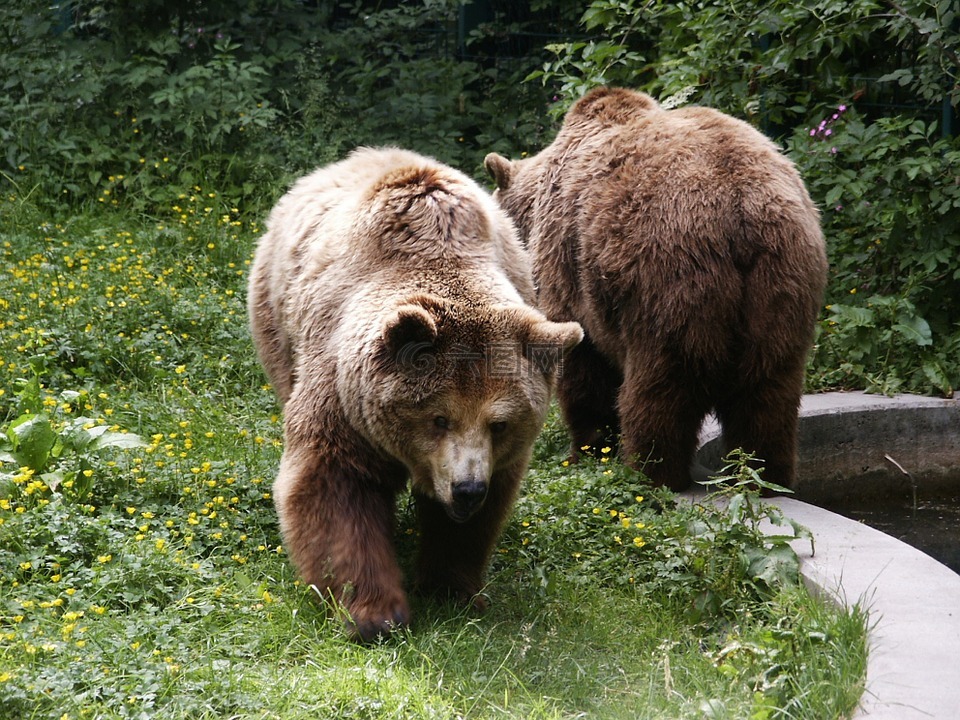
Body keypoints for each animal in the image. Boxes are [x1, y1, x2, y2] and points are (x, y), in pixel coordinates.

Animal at [244, 146, 580, 640]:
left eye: (499, 423)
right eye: (438, 417)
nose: (467, 489)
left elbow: (475, 518)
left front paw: (451, 586)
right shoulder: (342, 392)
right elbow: (334, 484)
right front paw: (375, 613)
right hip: (279, 325)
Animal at [484, 84, 828, 490]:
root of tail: (742, 205)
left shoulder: (568, 269)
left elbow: (583, 366)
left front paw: (587, 447)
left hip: (668, 275)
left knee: (661, 387)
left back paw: (650, 470)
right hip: (784, 282)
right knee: (769, 389)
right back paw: (762, 473)